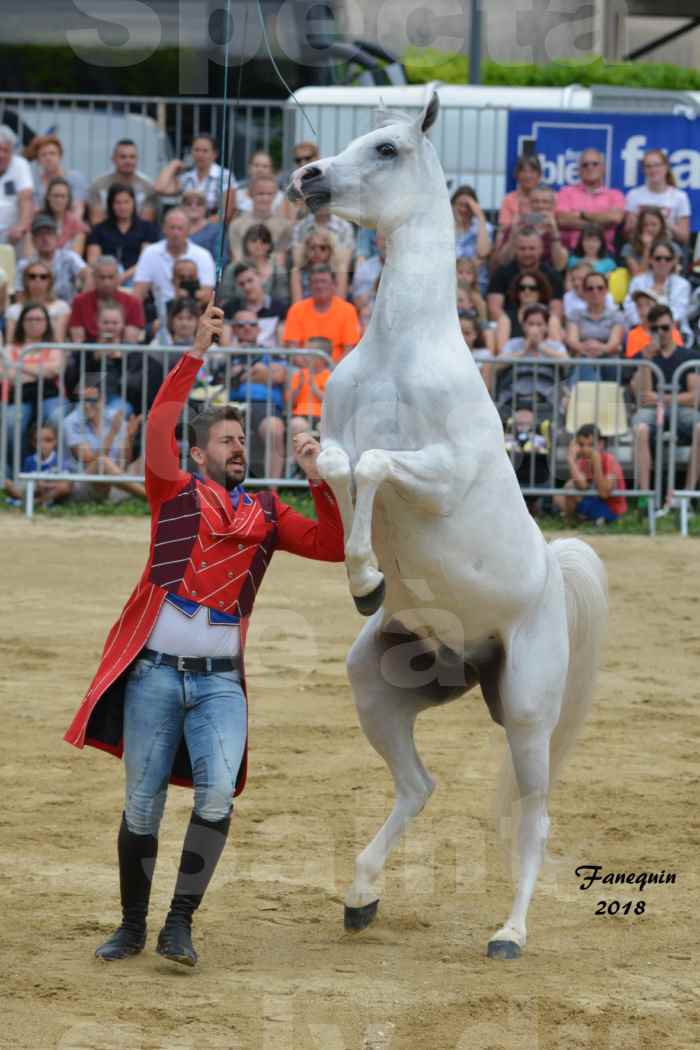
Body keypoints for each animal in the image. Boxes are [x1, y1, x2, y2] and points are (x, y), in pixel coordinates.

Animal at [287, 90, 604, 961]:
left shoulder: (439, 475)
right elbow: (342, 467)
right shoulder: (331, 443)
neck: (400, 354)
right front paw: (363, 575)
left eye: (387, 148)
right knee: (418, 784)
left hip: (527, 712)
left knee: (535, 817)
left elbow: (374, 468)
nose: (307, 177)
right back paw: (361, 895)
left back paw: (509, 933)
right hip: (379, 686)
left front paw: (367, 579)